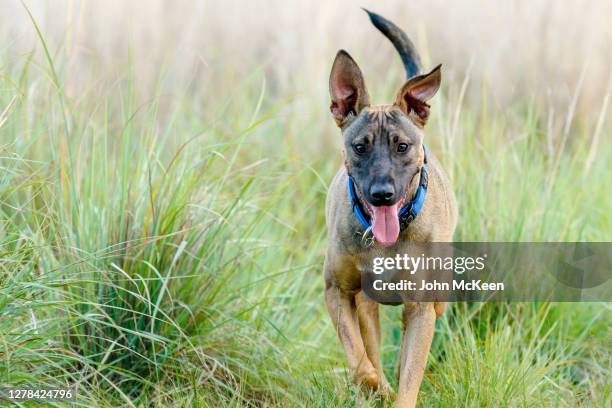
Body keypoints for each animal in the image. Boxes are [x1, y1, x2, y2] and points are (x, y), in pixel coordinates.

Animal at [322, 9, 456, 408]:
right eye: (360, 147)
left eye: (402, 146)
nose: (382, 194)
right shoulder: (337, 292)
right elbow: (360, 360)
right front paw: (374, 386)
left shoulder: (422, 308)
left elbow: (409, 377)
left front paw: (395, 391)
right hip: (366, 302)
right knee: (370, 344)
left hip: (437, 298)